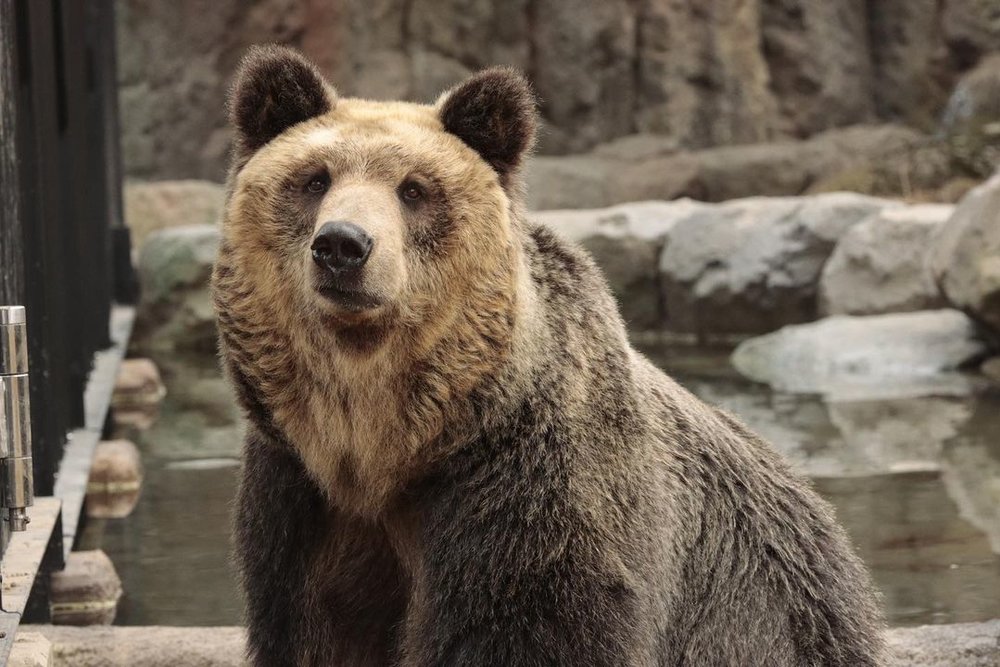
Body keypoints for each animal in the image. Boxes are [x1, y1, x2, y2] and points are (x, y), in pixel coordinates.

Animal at [213, 45, 885, 667]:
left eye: (413, 189)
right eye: (314, 179)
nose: (343, 245)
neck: (386, 445)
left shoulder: (530, 486)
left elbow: (531, 626)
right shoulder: (299, 504)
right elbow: (313, 628)